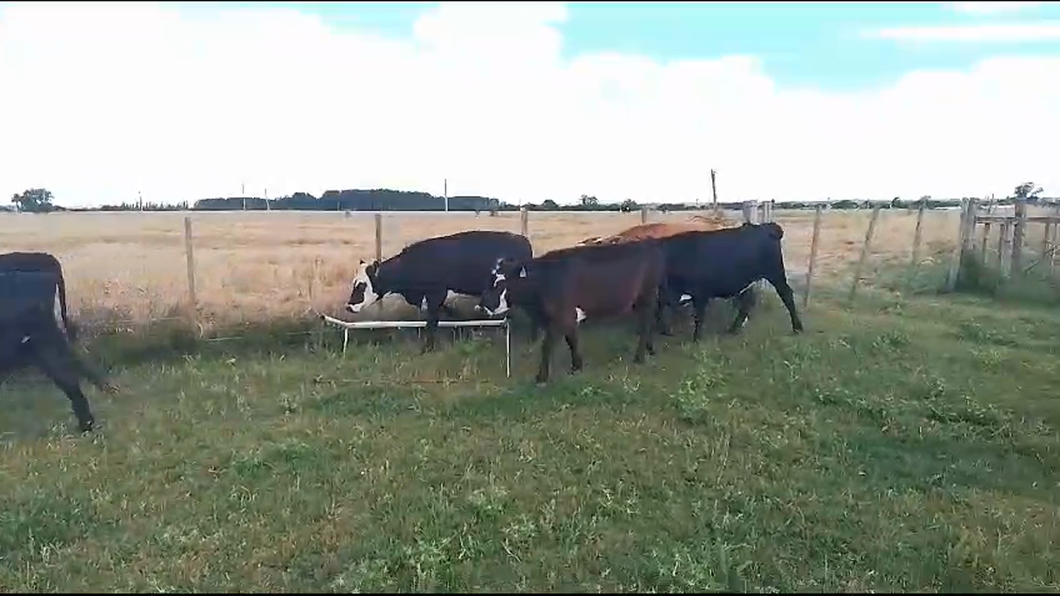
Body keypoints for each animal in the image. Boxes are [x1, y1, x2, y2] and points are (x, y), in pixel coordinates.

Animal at [345, 225, 534, 347]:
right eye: (354, 283)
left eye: (361, 286)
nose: (348, 306)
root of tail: (522, 238)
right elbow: (447, 314)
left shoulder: (436, 295)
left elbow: (432, 323)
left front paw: (428, 348)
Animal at [479, 235, 661, 379]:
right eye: (490, 280)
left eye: (502, 283)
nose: (483, 304)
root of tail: (646, 242)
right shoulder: (569, 316)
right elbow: (572, 340)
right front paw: (577, 366)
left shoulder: (561, 316)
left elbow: (547, 346)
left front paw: (541, 377)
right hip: (637, 301)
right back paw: (650, 349)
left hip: (647, 295)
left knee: (647, 322)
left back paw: (639, 357)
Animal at [652, 219, 801, 341]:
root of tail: (765, 226)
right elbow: (662, 307)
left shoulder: (701, 292)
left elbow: (699, 316)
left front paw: (697, 338)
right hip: (748, 280)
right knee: (747, 302)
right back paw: (733, 329)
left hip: (775, 273)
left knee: (786, 295)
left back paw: (797, 328)